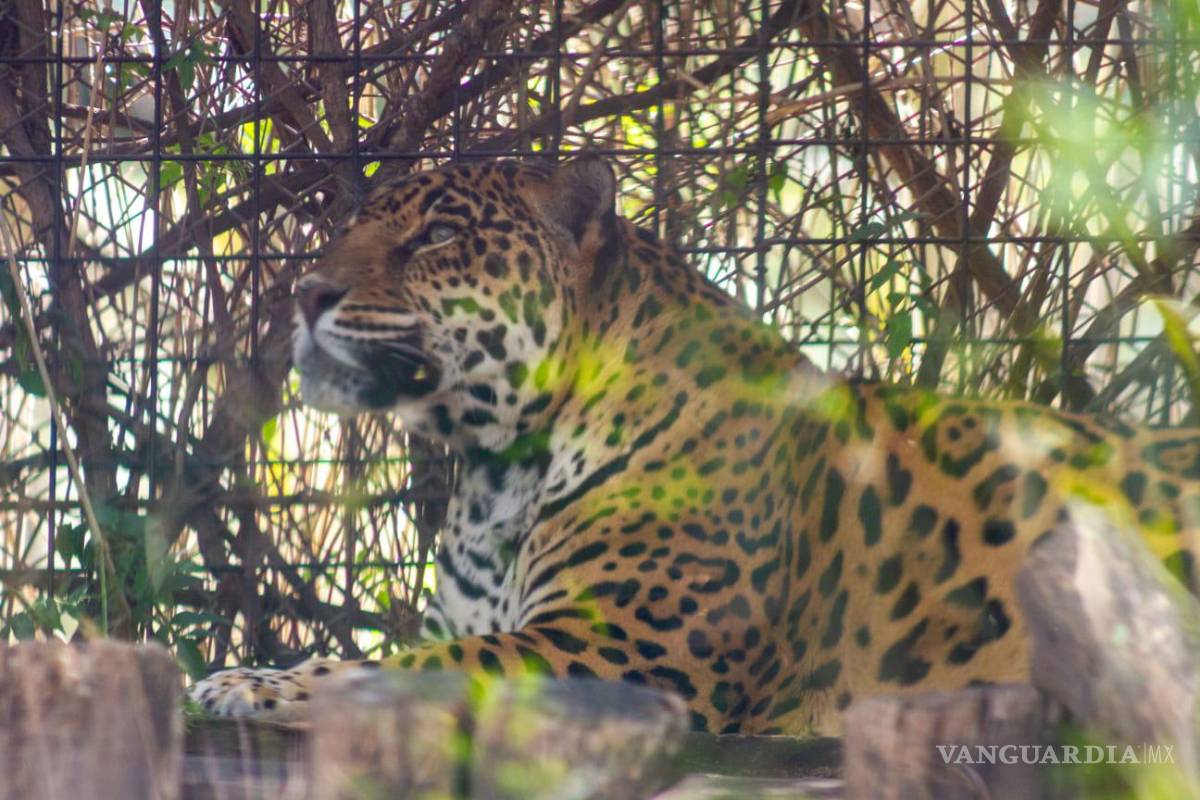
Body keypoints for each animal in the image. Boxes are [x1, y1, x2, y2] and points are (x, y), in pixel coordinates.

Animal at [191, 156, 1200, 736]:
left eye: (439, 234)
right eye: (354, 226)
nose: (306, 292)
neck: (497, 469)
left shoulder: (619, 653)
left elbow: (403, 670)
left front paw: (253, 685)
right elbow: (404, 652)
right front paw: (257, 672)